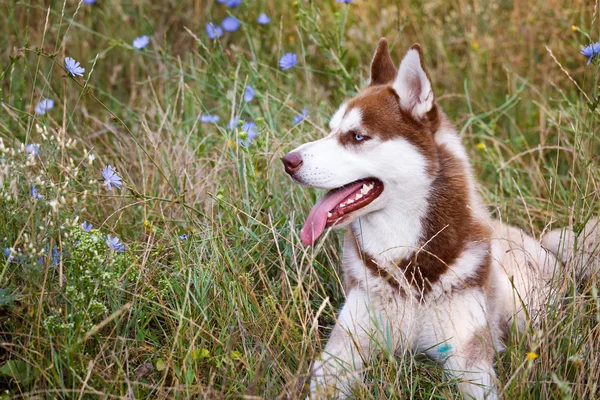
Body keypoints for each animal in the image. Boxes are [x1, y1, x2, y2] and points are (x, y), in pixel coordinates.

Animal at [282, 38, 600, 400]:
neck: (407, 262)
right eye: (331, 130)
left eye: (357, 136)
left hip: (529, 306)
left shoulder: (469, 358)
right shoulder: (343, 346)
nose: (287, 161)